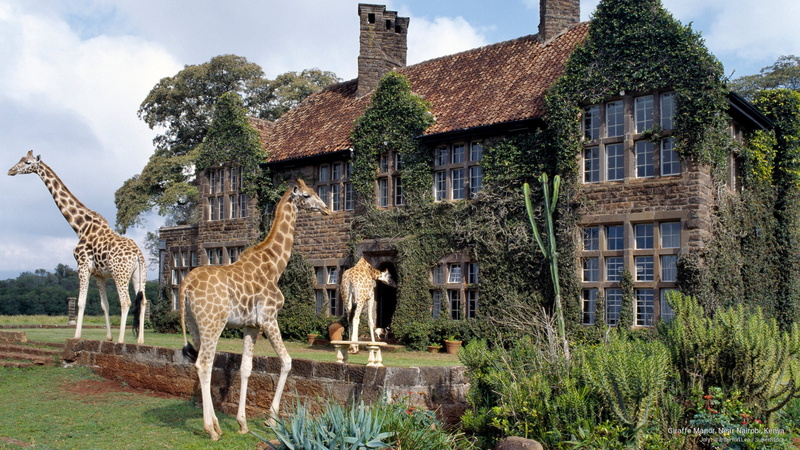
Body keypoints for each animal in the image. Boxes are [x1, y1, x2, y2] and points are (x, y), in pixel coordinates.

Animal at [8, 151, 147, 344]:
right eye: (20, 159)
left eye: (27, 162)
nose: (10, 171)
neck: (80, 227)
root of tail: (137, 254)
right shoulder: (99, 274)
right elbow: (104, 305)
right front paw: (108, 337)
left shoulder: (82, 266)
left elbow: (81, 302)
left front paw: (76, 335)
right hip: (138, 276)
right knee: (143, 302)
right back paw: (140, 341)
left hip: (120, 274)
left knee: (126, 301)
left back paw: (121, 340)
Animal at [179, 179, 330, 441]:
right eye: (307, 195)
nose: (326, 209)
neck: (275, 265)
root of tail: (186, 285)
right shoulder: (269, 317)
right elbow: (287, 361)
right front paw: (271, 419)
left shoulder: (250, 325)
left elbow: (246, 368)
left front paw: (242, 423)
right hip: (212, 323)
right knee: (204, 364)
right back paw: (211, 430)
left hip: (195, 326)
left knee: (201, 363)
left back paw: (217, 424)